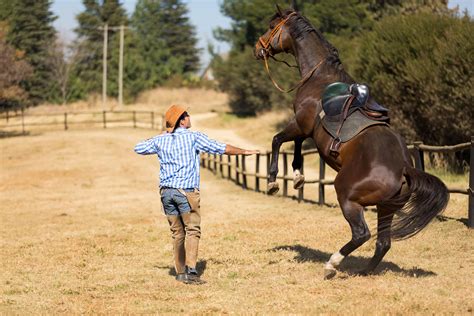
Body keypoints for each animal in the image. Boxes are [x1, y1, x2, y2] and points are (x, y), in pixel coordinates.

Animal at [256, 8, 448, 278]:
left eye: (271, 26)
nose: (258, 48)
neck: (320, 78)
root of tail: (403, 169)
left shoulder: (301, 124)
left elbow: (278, 141)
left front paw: (273, 181)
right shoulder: (306, 129)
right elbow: (296, 148)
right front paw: (297, 177)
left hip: (348, 196)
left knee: (362, 234)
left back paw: (332, 264)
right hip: (386, 208)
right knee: (382, 242)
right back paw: (364, 271)